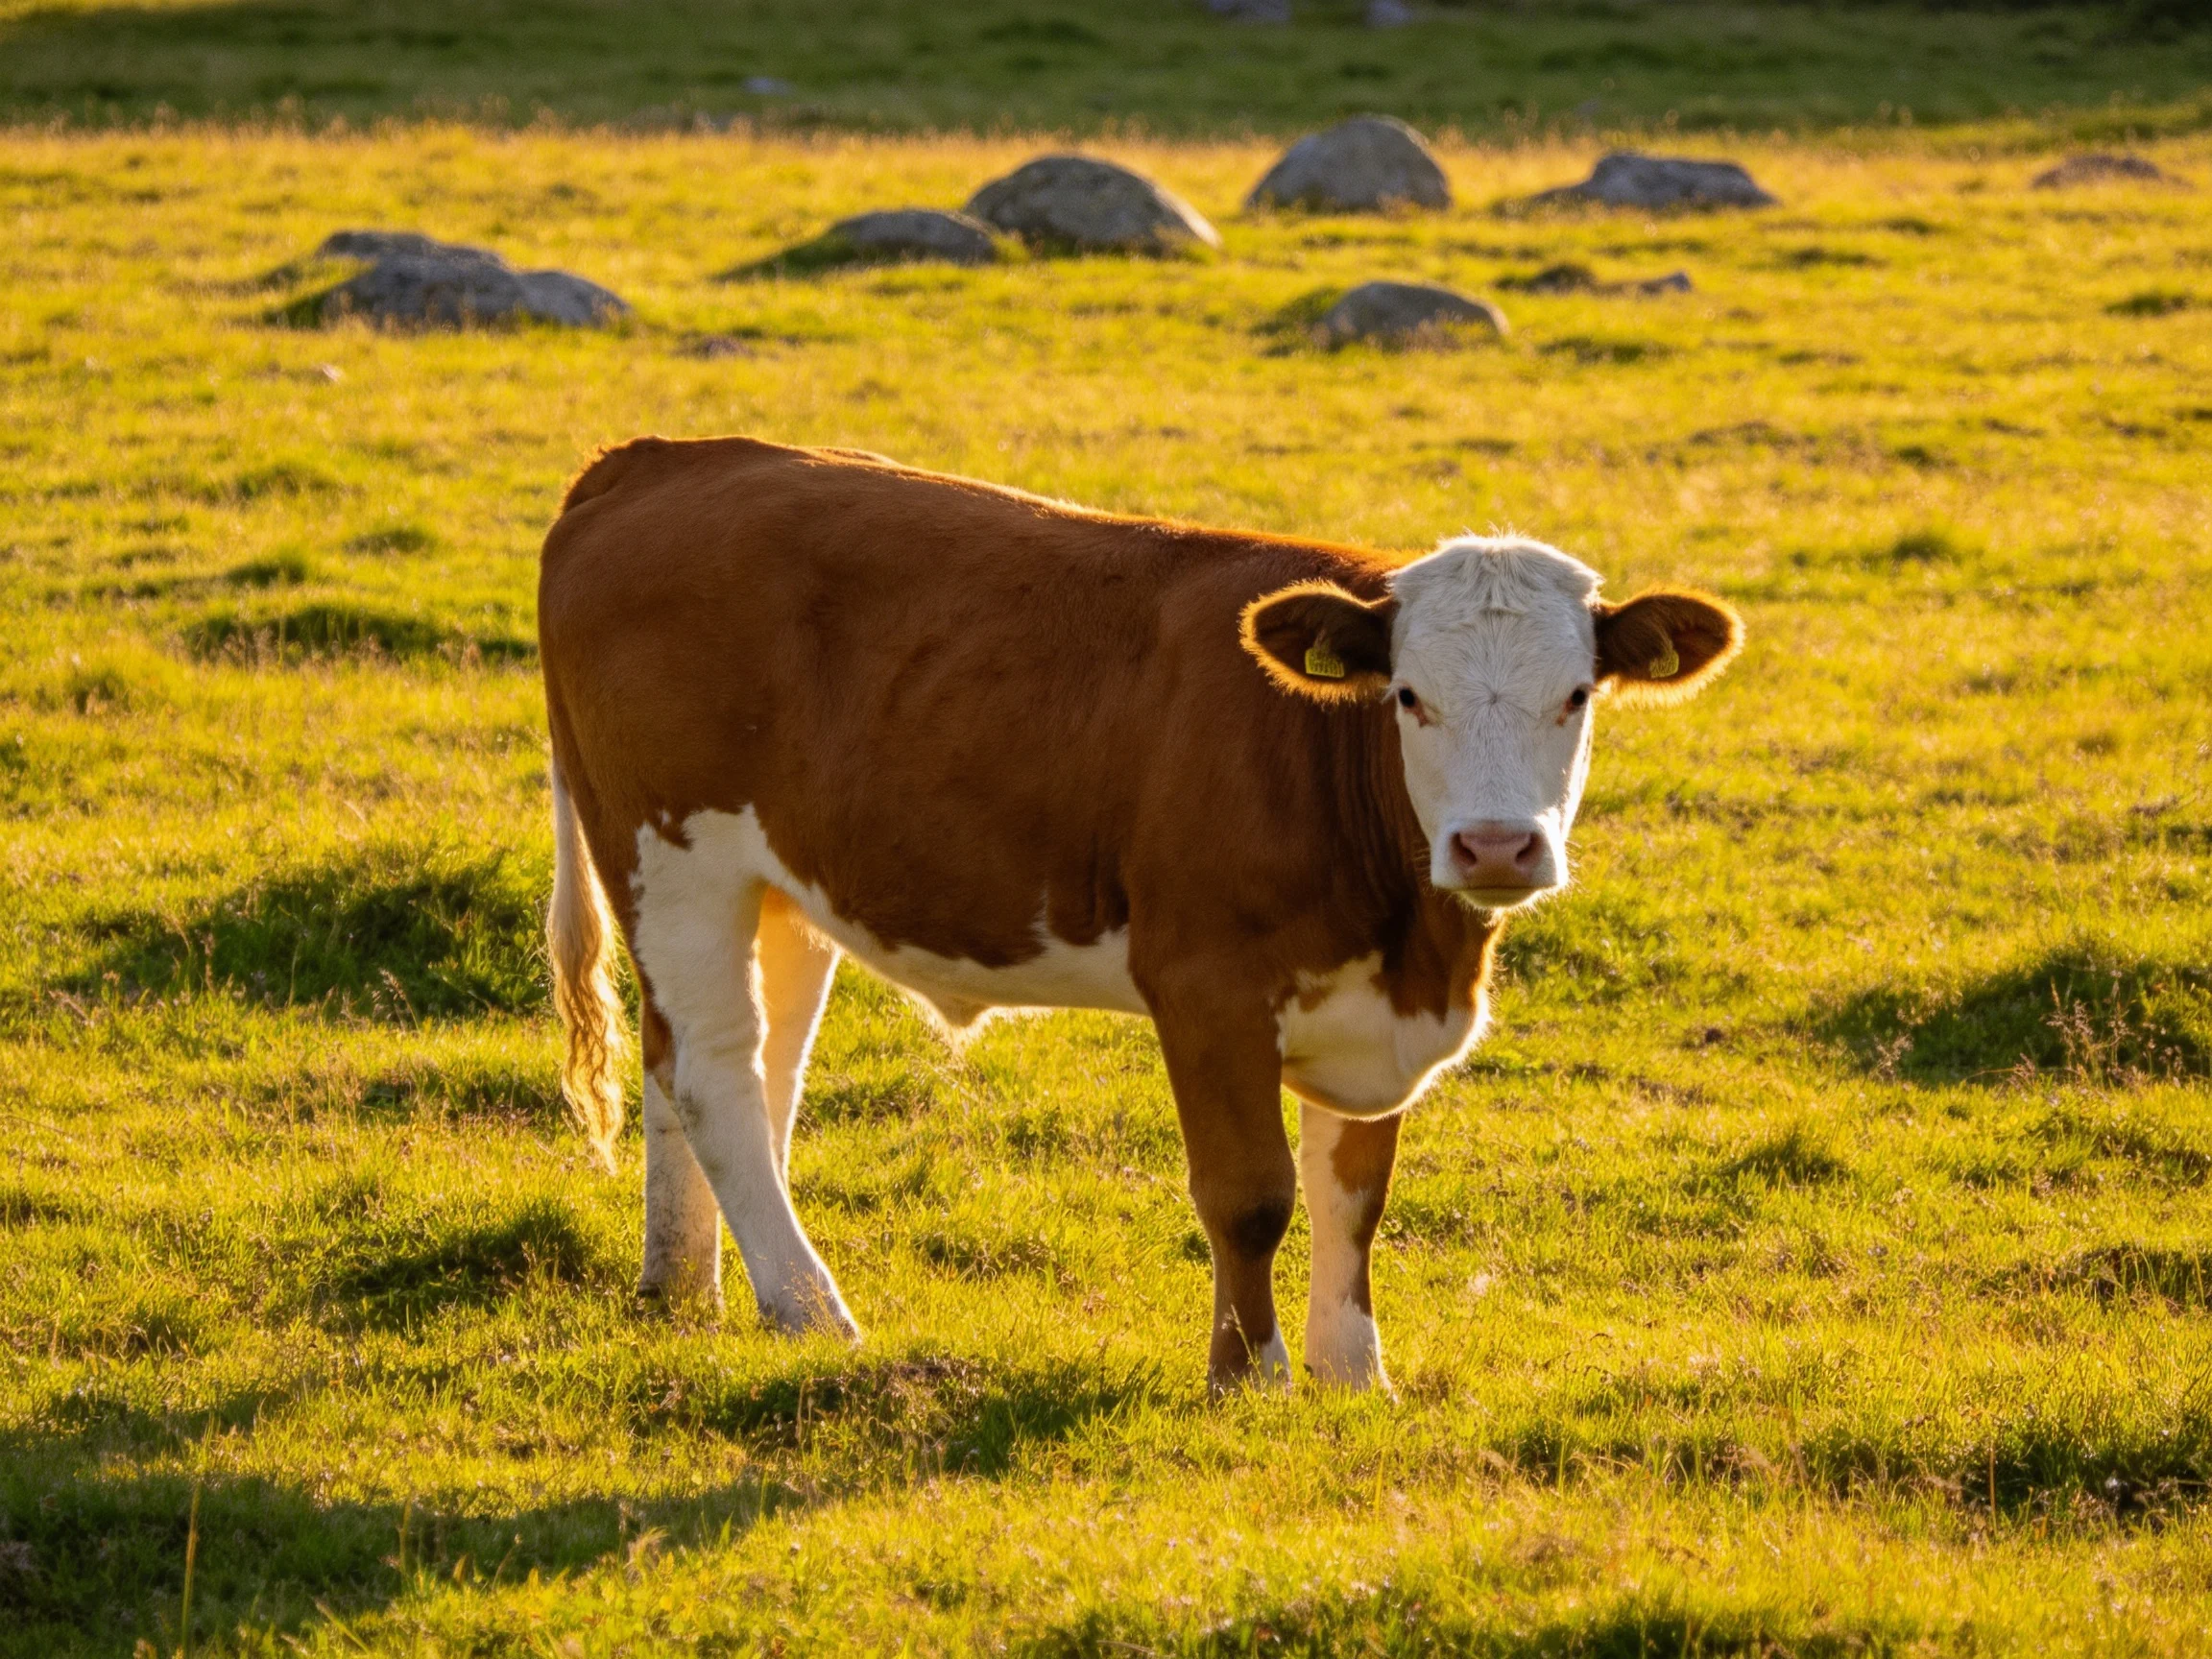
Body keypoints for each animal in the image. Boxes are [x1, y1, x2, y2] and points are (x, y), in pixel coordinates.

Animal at [540, 436, 1741, 1393]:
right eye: (1410, 697)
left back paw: (691, 1287)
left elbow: (1354, 1195)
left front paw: (1356, 1377)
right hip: (672, 854)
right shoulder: (1205, 986)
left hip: (774, 882)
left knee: (737, 1067)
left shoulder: (1373, 1010)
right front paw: (1250, 1379)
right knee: (711, 1070)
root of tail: (665, 458)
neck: (1416, 945)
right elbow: (1250, 1195)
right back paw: (809, 1309)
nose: (1495, 845)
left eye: (1575, 697)